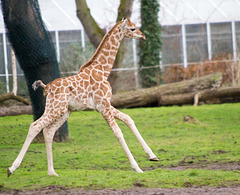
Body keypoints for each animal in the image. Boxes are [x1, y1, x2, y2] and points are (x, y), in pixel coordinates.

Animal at [7, 17, 158, 177]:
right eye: (132, 28)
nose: (143, 36)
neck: (102, 70)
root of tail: (47, 88)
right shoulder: (103, 105)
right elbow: (118, 132)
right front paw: (137, 167)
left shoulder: (104, 104)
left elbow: (128, 119)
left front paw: (152, 156)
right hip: (56, 108)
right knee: (35, 126)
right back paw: (12, 168)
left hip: (63, 111)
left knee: (48, 131)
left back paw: (52, 172)